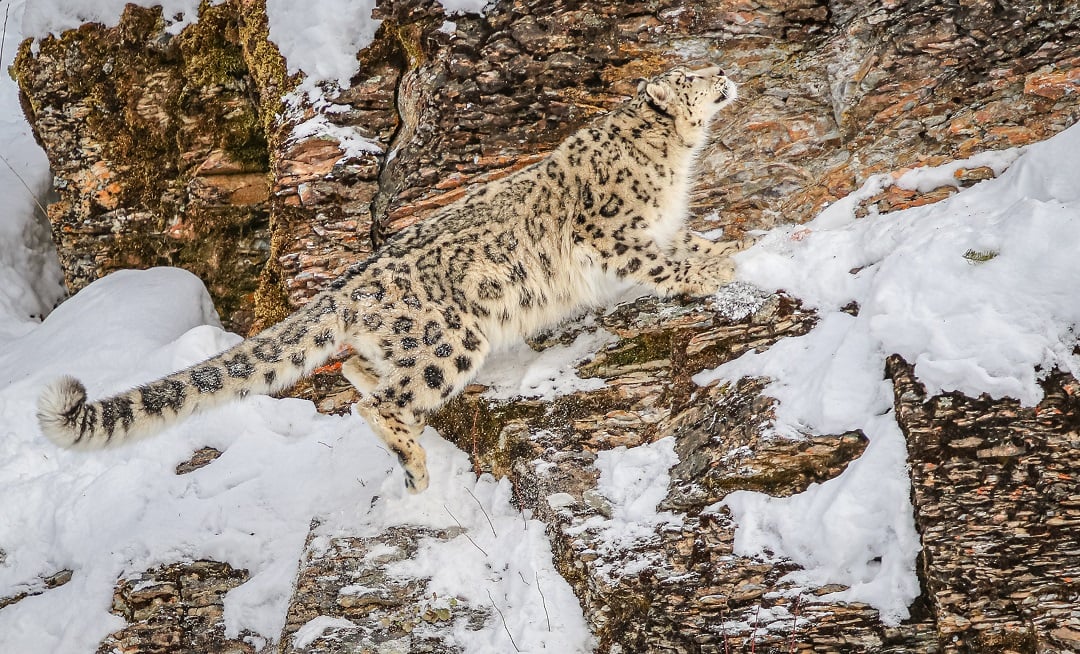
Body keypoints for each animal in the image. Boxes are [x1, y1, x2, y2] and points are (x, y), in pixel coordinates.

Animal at [35, 65, 743, 492]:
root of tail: (345, 284)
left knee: (357, 370)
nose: (725, 75)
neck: (675, 159)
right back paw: (415, 464)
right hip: (449, 340)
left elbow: (688, 241)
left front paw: (730, 248)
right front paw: (714, 270)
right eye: (695, 78)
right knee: (379, 401)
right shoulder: (613, 234)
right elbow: (661, 263)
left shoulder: (660, 227)